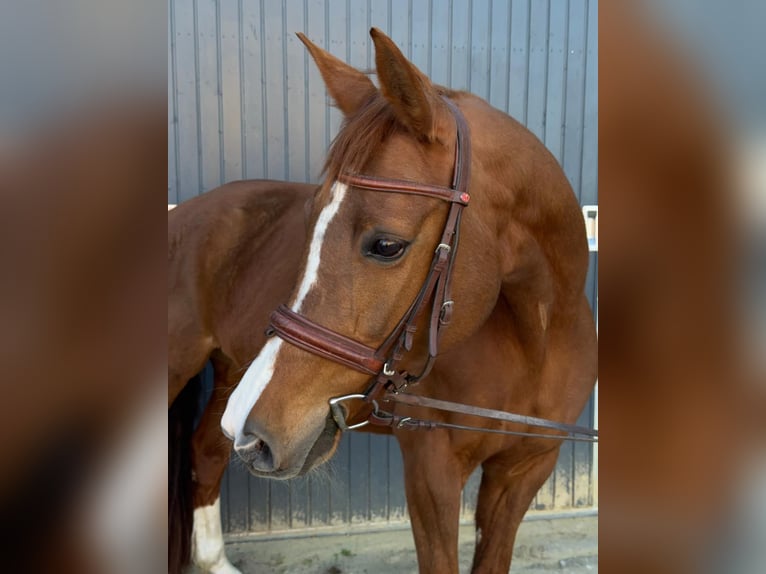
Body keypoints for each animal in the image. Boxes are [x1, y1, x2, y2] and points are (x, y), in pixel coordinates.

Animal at [220, 28, 597, 574]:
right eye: (309, 220)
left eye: (386, 245)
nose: (246, 429)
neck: (537, 343)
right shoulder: (431, 472)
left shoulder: (525, 471)